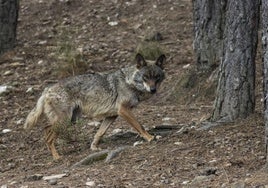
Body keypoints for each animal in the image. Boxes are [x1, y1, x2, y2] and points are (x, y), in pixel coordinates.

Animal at [24, 53, 165, 159]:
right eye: (145, 77)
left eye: (157, 77)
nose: (153, 90)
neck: (129, 82)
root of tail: (47, 89)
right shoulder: (123, 111)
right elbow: (139, 126)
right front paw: (150, 138)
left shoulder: (113, 115)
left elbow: (100, 133)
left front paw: (94, 147)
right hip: (65, 121)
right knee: (48, 136)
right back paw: (57, 157)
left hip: (71, 120)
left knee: (46, 129)